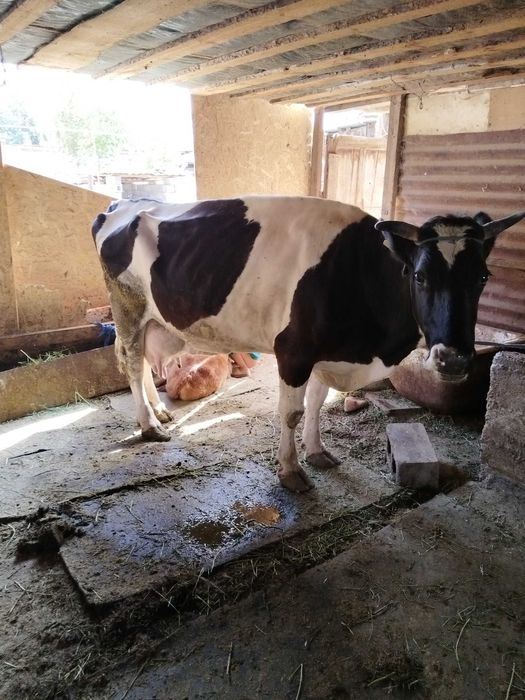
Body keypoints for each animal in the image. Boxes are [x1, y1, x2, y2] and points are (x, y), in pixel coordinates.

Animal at [92, 197, 524, 492]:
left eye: (482, 277)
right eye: (418, 276)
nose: (453, 360)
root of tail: (124, 203)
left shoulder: (326, 354)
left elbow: (317, 403)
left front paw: (316, 452)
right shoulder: (295, 351)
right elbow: (291, 413)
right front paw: (291, 470)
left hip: (155, 320)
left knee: (143, 363)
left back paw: (159, 413)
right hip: (128, 308)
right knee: (132, 363)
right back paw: (150, 426)